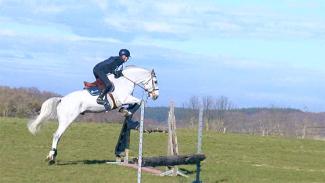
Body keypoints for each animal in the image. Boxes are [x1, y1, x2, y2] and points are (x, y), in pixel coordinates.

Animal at [27, 66, 158, 164]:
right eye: (155, 81)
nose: (156, 96)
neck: (124, 82)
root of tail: (62, 99)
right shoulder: (124, 98)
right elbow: (139, 102)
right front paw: (127, 111)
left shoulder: (125, 100)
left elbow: (136, 103)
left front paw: (127, 113)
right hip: (67, 120)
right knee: (56, 135)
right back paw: (50, 157)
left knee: (58, 137)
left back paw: (54, 157)